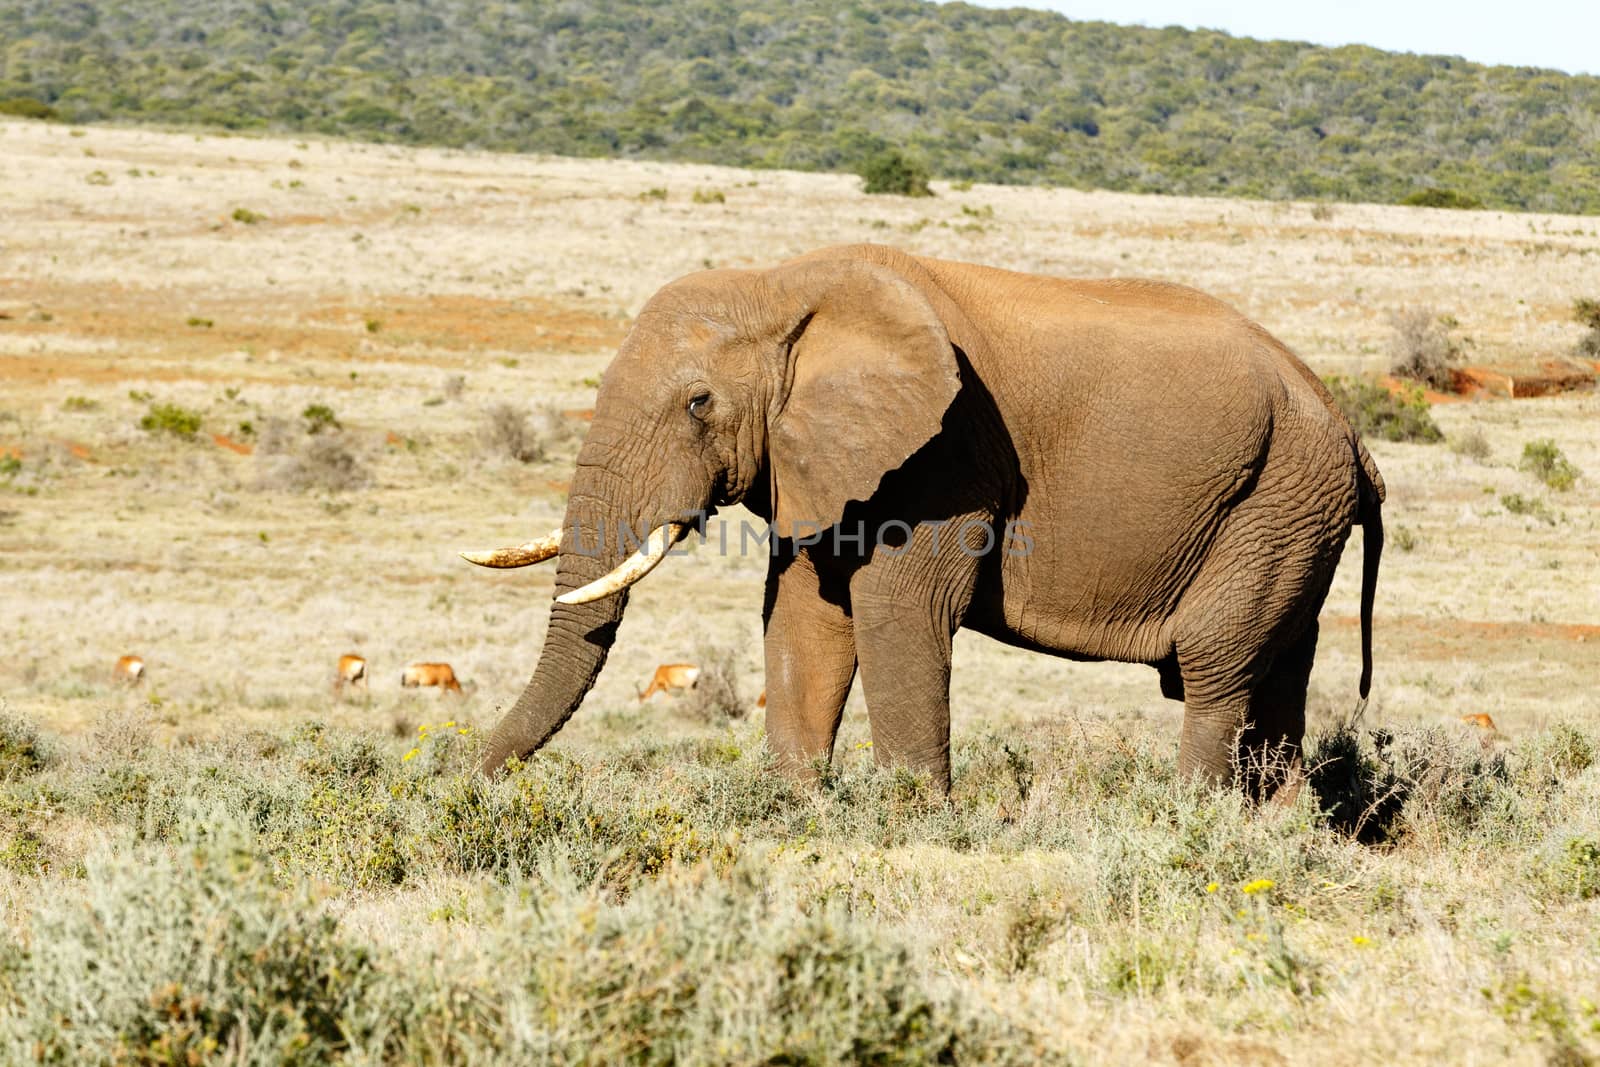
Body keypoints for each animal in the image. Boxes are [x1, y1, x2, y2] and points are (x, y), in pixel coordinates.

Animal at [467, 239, 1388, 793]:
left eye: (698, 402)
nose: (464, 778)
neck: (784, 283)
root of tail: (1350, 430)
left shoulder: (944, 454)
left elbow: (896, 613)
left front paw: (912, 819)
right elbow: (804, 619)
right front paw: (794, 808)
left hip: (1277, 497)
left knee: (1214, 665)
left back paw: (1192, 819)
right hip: (1292, 509)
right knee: (1278, 669)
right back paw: (1272, 833)